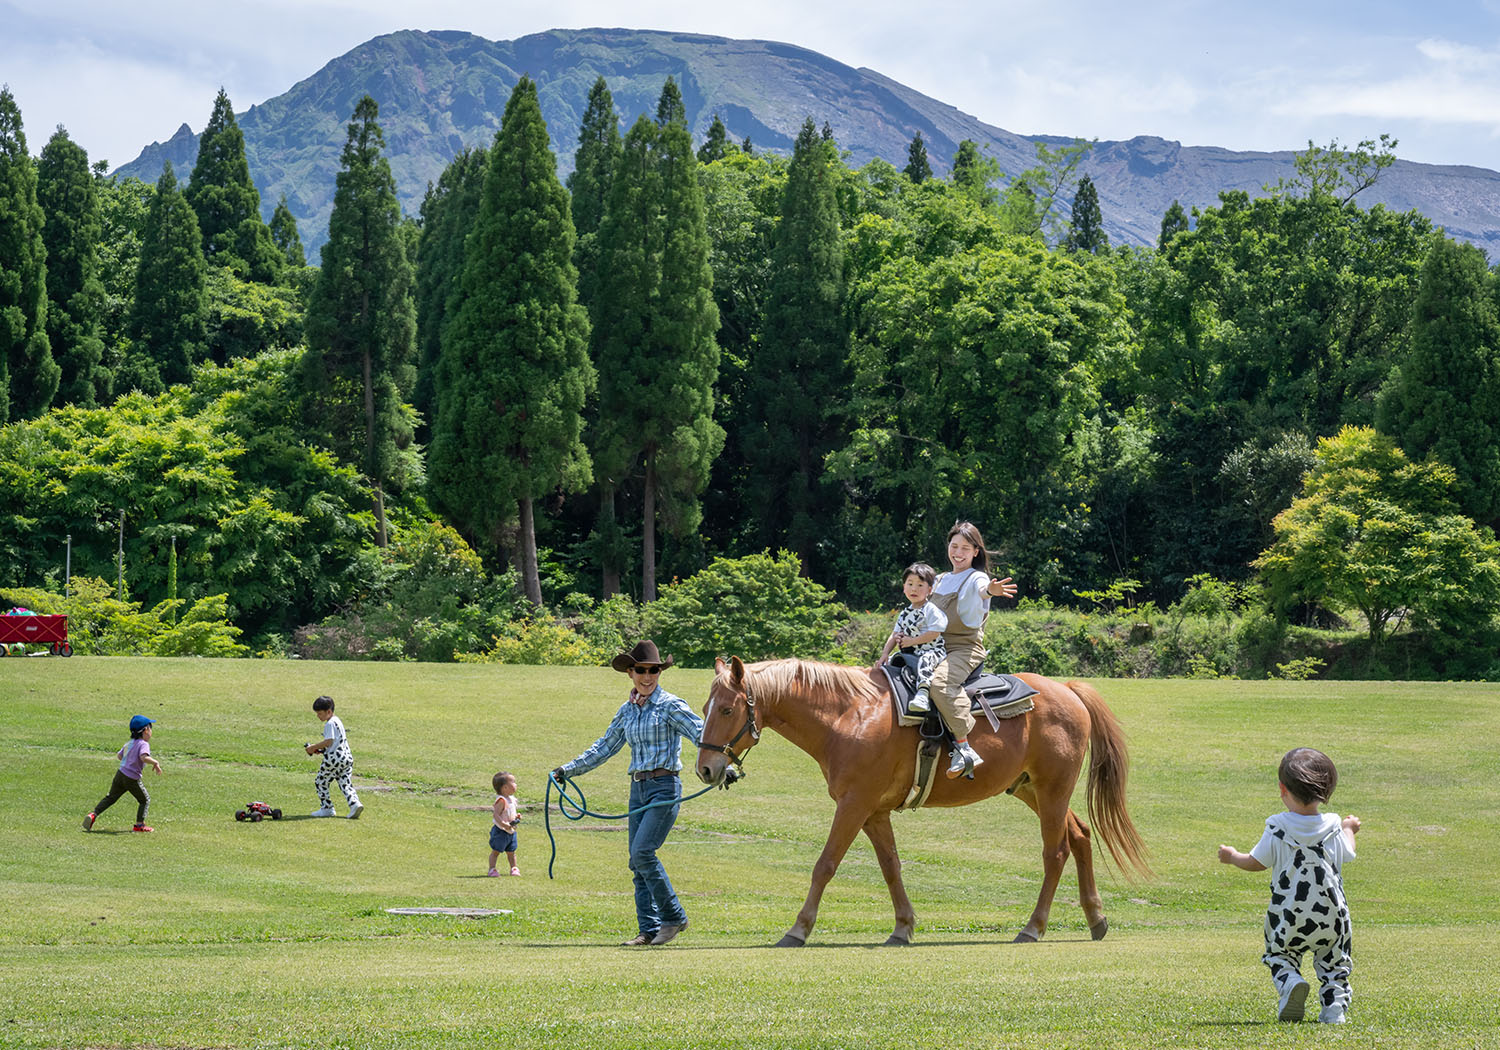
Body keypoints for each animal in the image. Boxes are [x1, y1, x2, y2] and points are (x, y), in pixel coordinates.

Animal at [693, 657, 1146, 942]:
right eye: (706, 706)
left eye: (729, 709)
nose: (706, 769)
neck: (850, 716)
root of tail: (1068, 689)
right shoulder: (873, 812)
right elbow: (891, 868)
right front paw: (903, 927)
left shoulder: (853, 805)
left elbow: (825, 866)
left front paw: (799, 929)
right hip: (1032, 789)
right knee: (1081, 836)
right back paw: (1096, 918)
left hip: (1052, 791)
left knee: (1055, 853)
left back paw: (1033, 927)